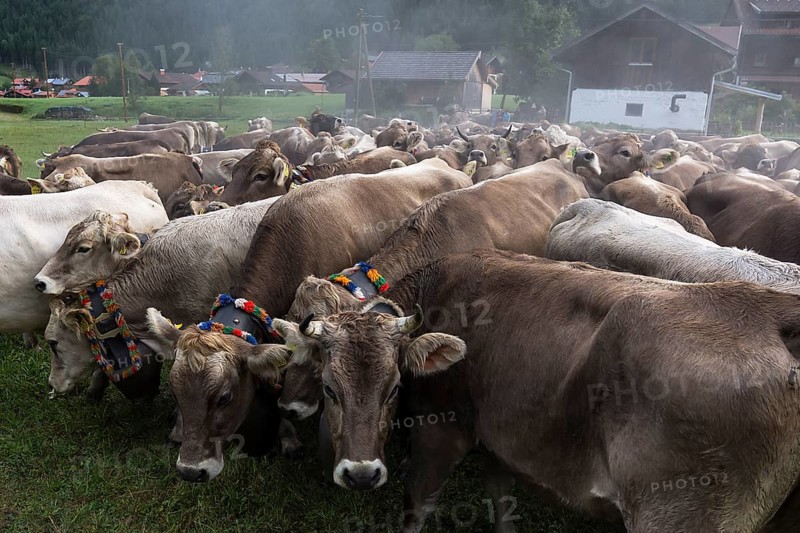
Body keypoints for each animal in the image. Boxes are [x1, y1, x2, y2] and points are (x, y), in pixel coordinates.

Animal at [268, 249, 800, 532]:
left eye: (396, 386)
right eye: (331, 387)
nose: (360, 474)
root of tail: (765, 310)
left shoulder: (441, 435)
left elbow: (416, 507)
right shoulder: (500, 444)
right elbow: (501, 505)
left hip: (679, 512)